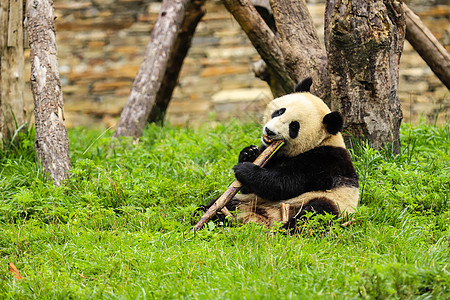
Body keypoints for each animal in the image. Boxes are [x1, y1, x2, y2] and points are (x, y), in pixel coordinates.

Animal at [201, 77, 358, 230]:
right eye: (280, 111)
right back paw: (211, 215)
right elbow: (247, 187)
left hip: (330, 201)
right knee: (223, 204)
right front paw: (249, 153)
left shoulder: (324, 161)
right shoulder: (272, 153)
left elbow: (283, 183)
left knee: (316, 212)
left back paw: (286, 229)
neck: (323, 140)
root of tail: (266, 219)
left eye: (294, 126)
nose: (269, 131)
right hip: (247, 201)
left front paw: (245, 169)